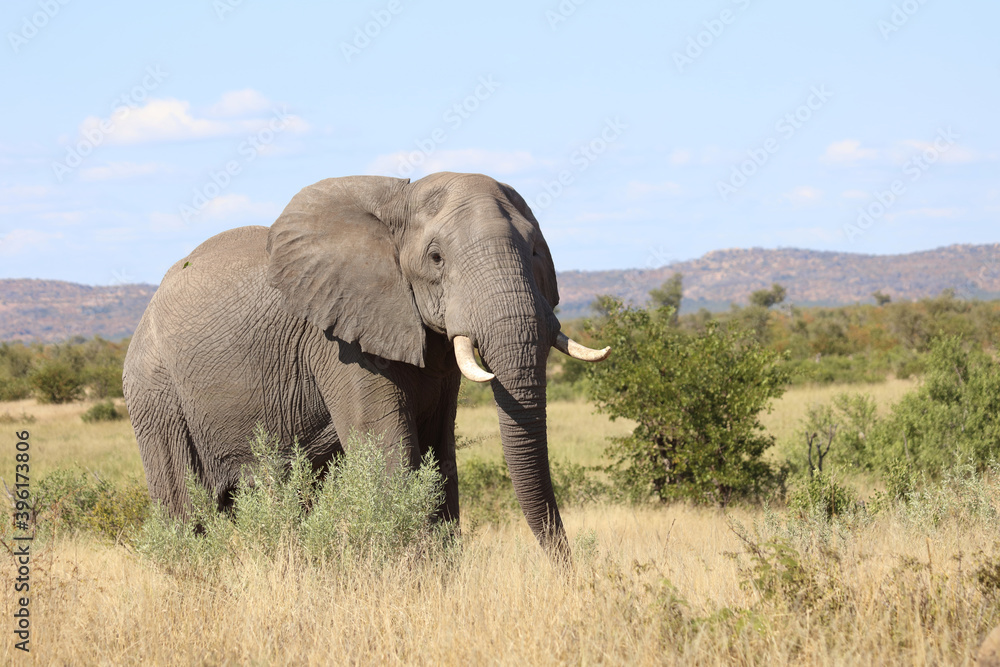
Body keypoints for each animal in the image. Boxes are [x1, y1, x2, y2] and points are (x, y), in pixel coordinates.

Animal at [125, 172, 608, 560]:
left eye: (535, 250)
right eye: (436, 258)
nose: (570, 573)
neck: (400, 202)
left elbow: (438, 454)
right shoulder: (339, 339)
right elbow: (389, 449)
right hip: (155, 394)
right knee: (186, 508)